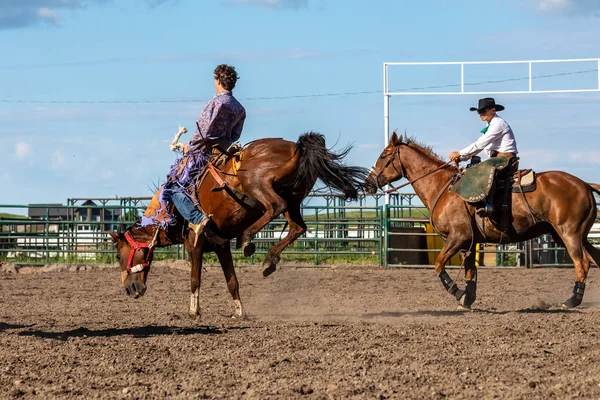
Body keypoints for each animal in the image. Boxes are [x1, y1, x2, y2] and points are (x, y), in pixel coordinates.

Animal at [110, 133, 368, 320]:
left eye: (120, 255)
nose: (130, 289)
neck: (169, 211)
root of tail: (297, 146)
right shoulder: (221, 246)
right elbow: (232, 281)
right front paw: (240, 312)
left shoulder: (194, 243)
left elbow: (195, 279)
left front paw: (193, 312)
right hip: (295, 198)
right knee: (298, 227)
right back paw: (268, 260)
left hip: (258, 183)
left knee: (275, 206)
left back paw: (248, 239)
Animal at [364, 133, 600, 310]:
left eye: (384, 156)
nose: (367, 184)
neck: (443, 187)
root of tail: (585, 185)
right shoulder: (467, 243)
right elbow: (470, 271)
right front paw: (467, 299)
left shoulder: (458, 238)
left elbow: (439, 265)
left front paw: (457, 292)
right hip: (574, 236)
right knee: (595, 259)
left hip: (569, 234)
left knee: (582, 264)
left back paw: (572, 301)